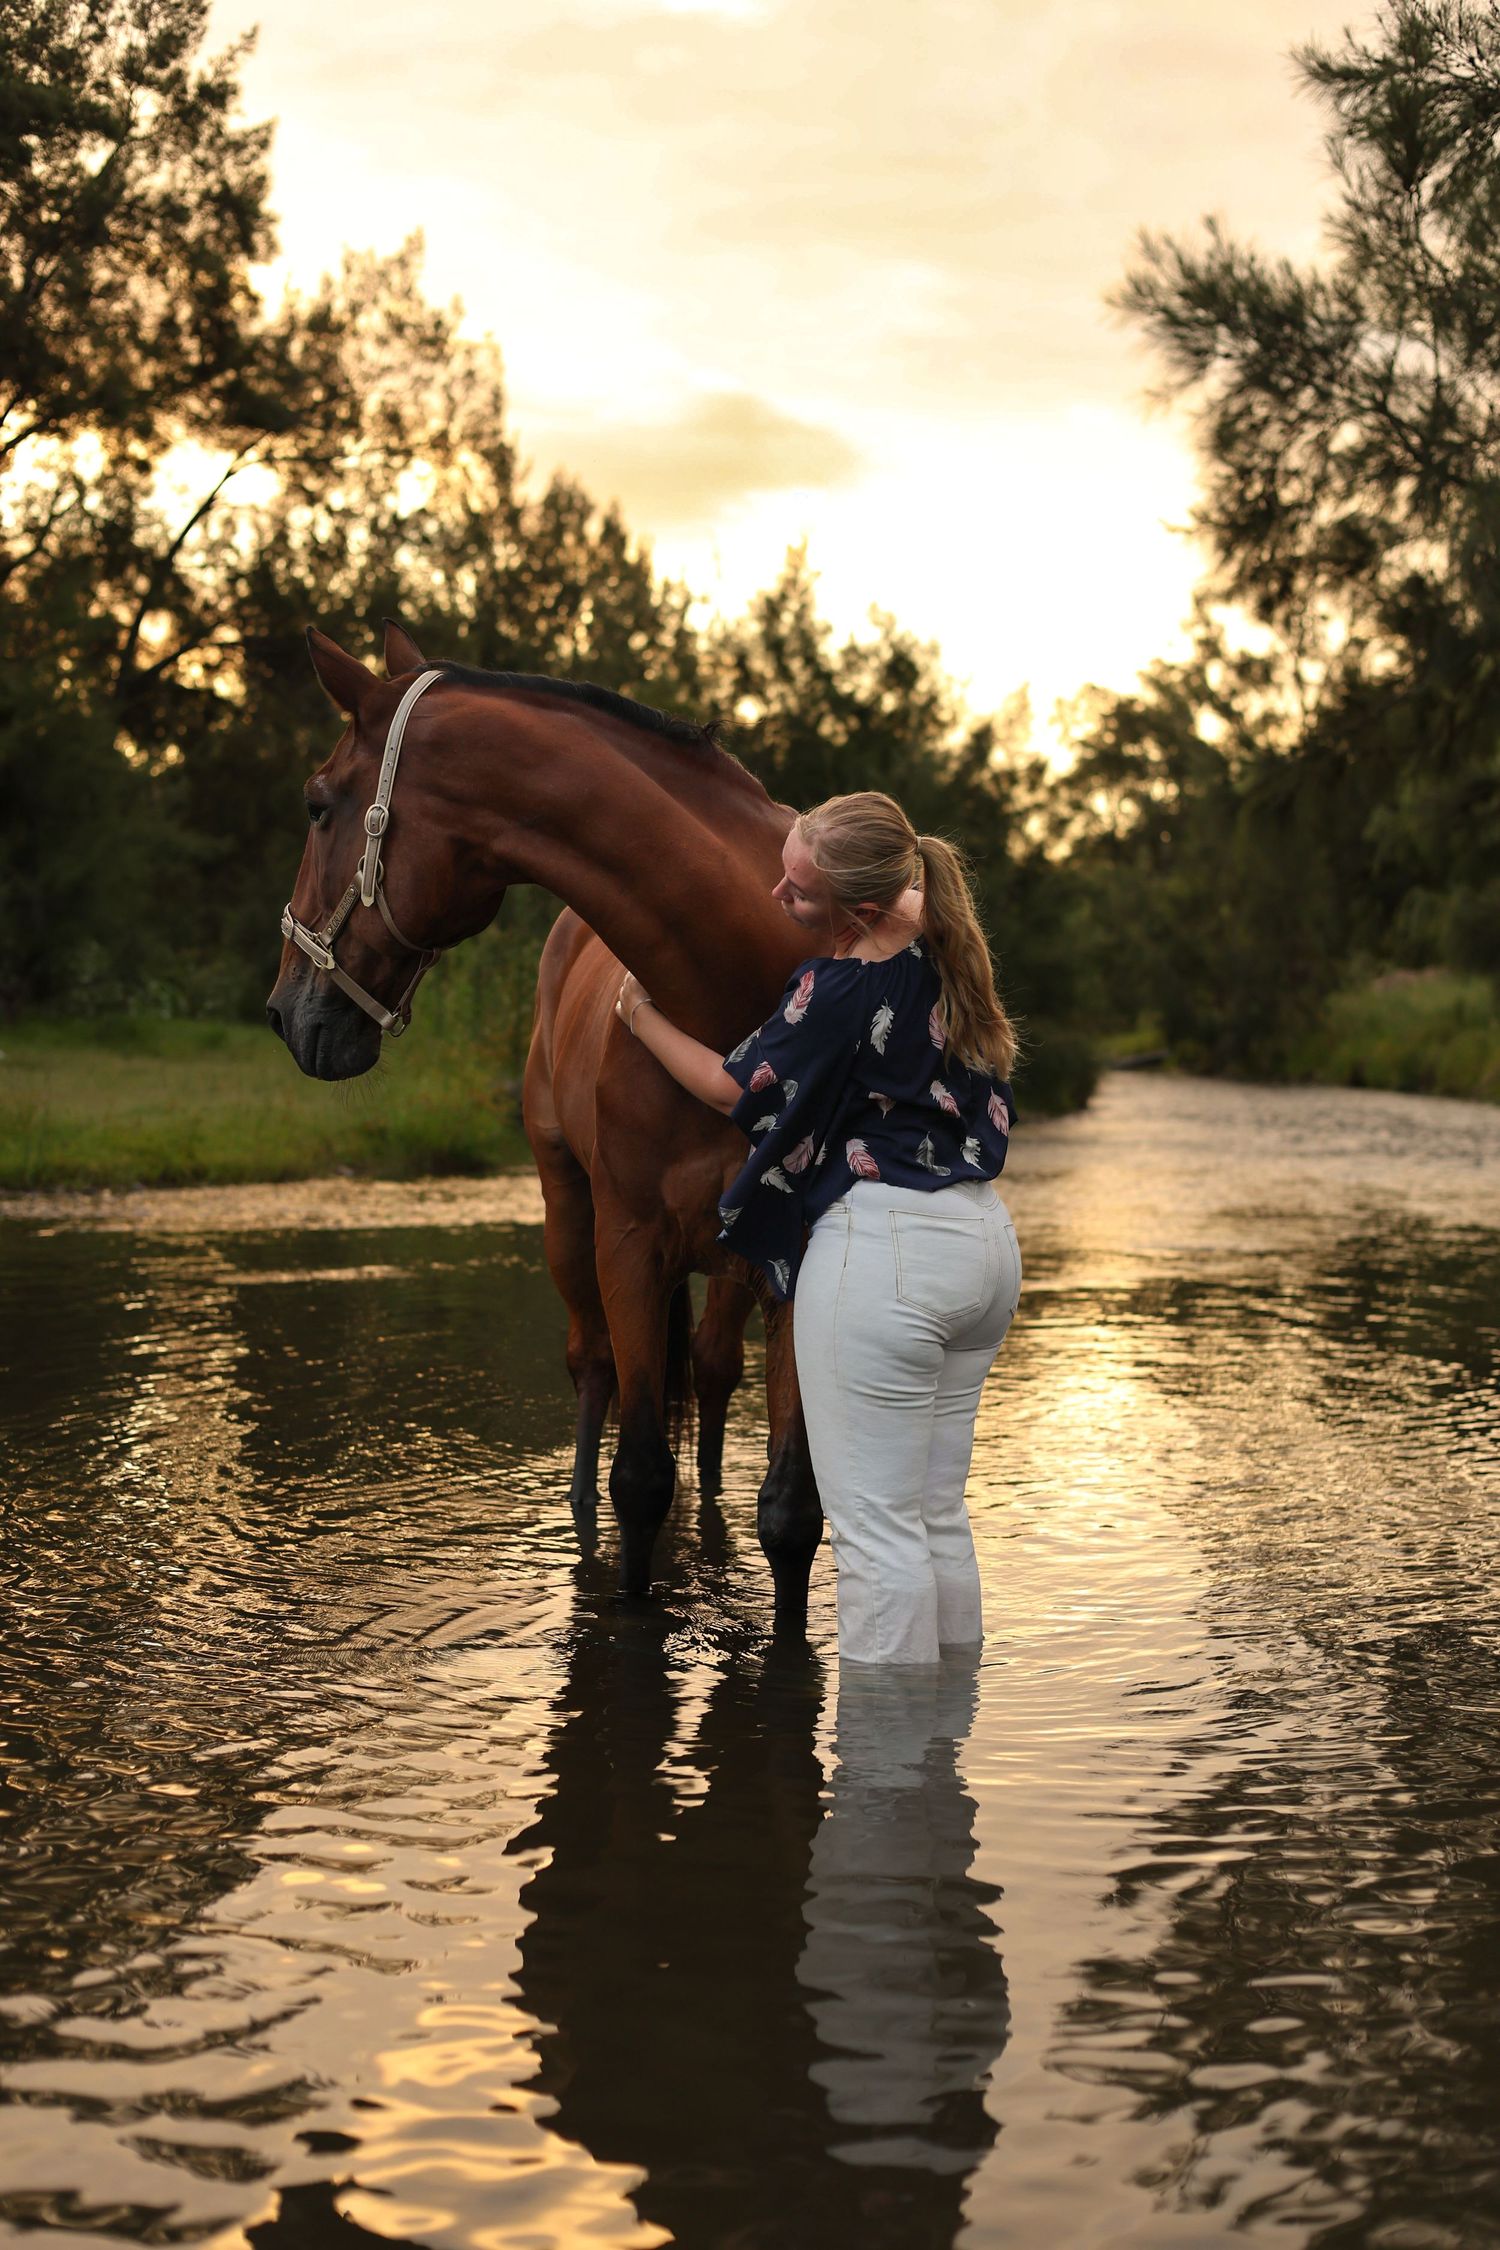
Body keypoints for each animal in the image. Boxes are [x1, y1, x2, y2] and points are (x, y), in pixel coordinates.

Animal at [267, 620, 824, 1622]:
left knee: (712, 1374)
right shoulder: (628, 1244)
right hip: (570, 1219)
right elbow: (639, 1478)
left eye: (318, 805)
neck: (734, 1001)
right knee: (592, 1366)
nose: (286, 1012)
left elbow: (791, 1511)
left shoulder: (795, 1258)